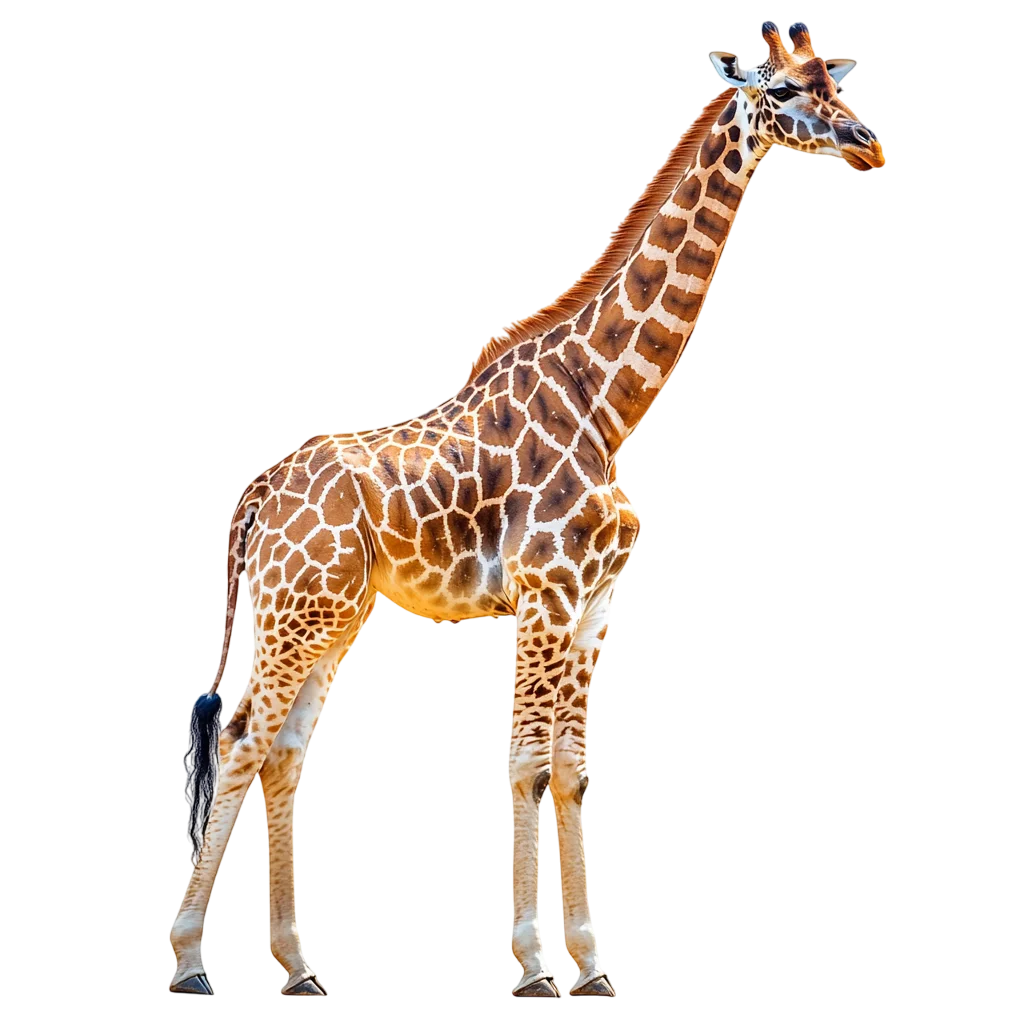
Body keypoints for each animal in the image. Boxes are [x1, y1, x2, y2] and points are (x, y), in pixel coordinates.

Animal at [168, 21, 885, 999]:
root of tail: (255, 493)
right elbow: (526, 764)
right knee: (241, 740)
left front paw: (589, 962)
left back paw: (297, 966)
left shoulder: (595, 604)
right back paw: (190, 961)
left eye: (833, 84)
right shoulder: (542, 594)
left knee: (282, 754)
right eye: (781, 91)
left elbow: (574, 771)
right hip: (293, 615)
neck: (608, 400)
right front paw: (535, 963)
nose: (870, 144)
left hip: (330, 616)